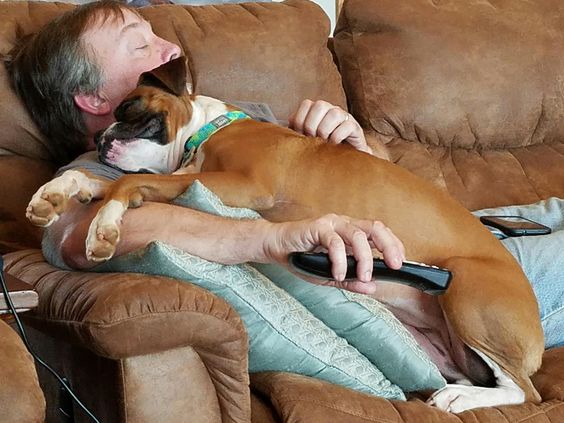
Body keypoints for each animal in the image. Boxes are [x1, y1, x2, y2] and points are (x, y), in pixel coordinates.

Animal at [26, 58, 540, 412]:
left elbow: (122, 184)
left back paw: (461, 400)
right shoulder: (194, 181)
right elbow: (102, 183)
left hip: (467, 293)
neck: (206, 133)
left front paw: (104, 225)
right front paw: (56, 193)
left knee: (525, 392)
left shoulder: (239, 185)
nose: (100, 140)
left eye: (130, 109)